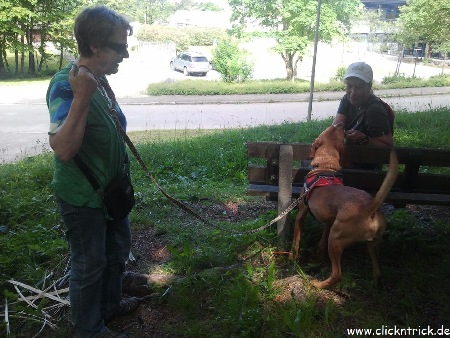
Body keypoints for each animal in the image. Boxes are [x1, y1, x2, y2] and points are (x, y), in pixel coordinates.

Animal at [292, 123, 398, 288]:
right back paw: (375, 283)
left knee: (337, 274)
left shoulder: (302, 213)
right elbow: (321, 240)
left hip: (335, 240)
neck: (325, 167)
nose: (341, 124)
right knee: (378, 270)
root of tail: (370, 206)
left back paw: (317, 284)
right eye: (334, 129)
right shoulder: (328, 222)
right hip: (372, 245)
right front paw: (319, 254)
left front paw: (292, 258)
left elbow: (296, 241)